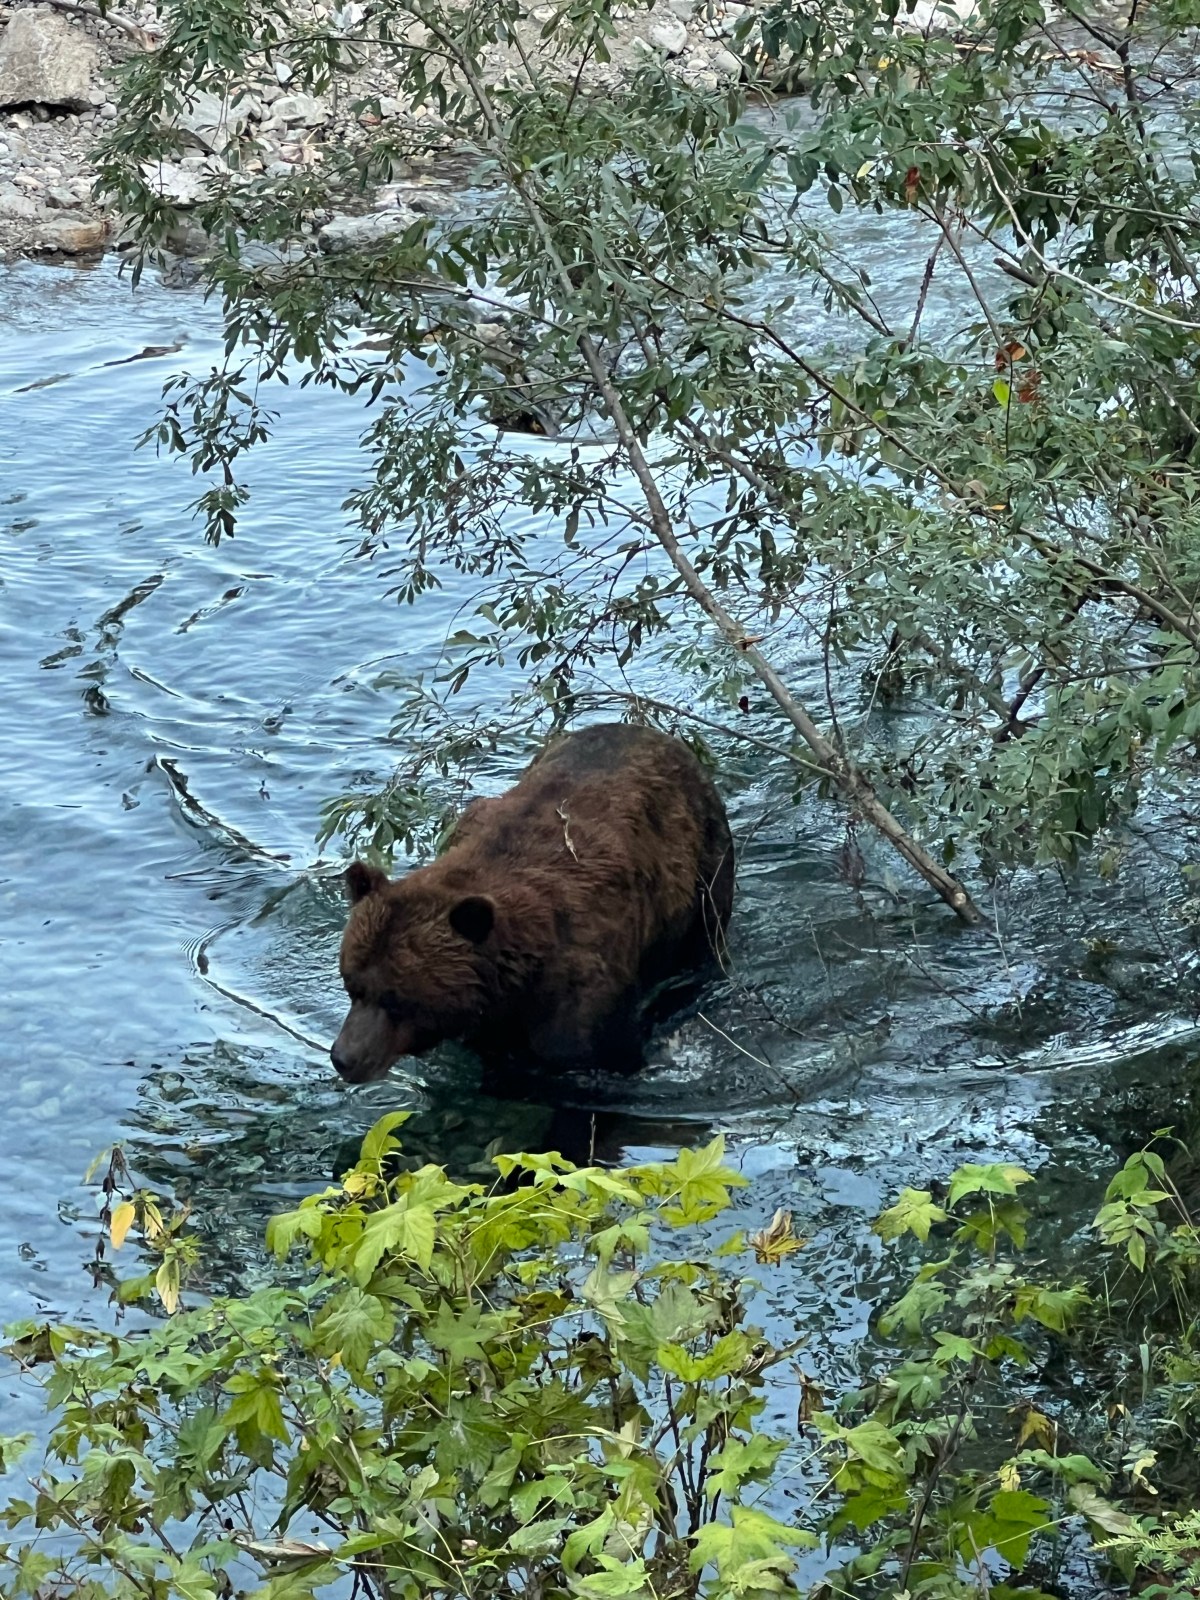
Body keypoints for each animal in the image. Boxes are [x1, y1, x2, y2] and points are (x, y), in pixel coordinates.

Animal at [329, 722, 734, 1084]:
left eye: (397, 999)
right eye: (352, 985)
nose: (344, 1058)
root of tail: (654, 732)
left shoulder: (581, 995)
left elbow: (598, 1058)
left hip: (704, 868)